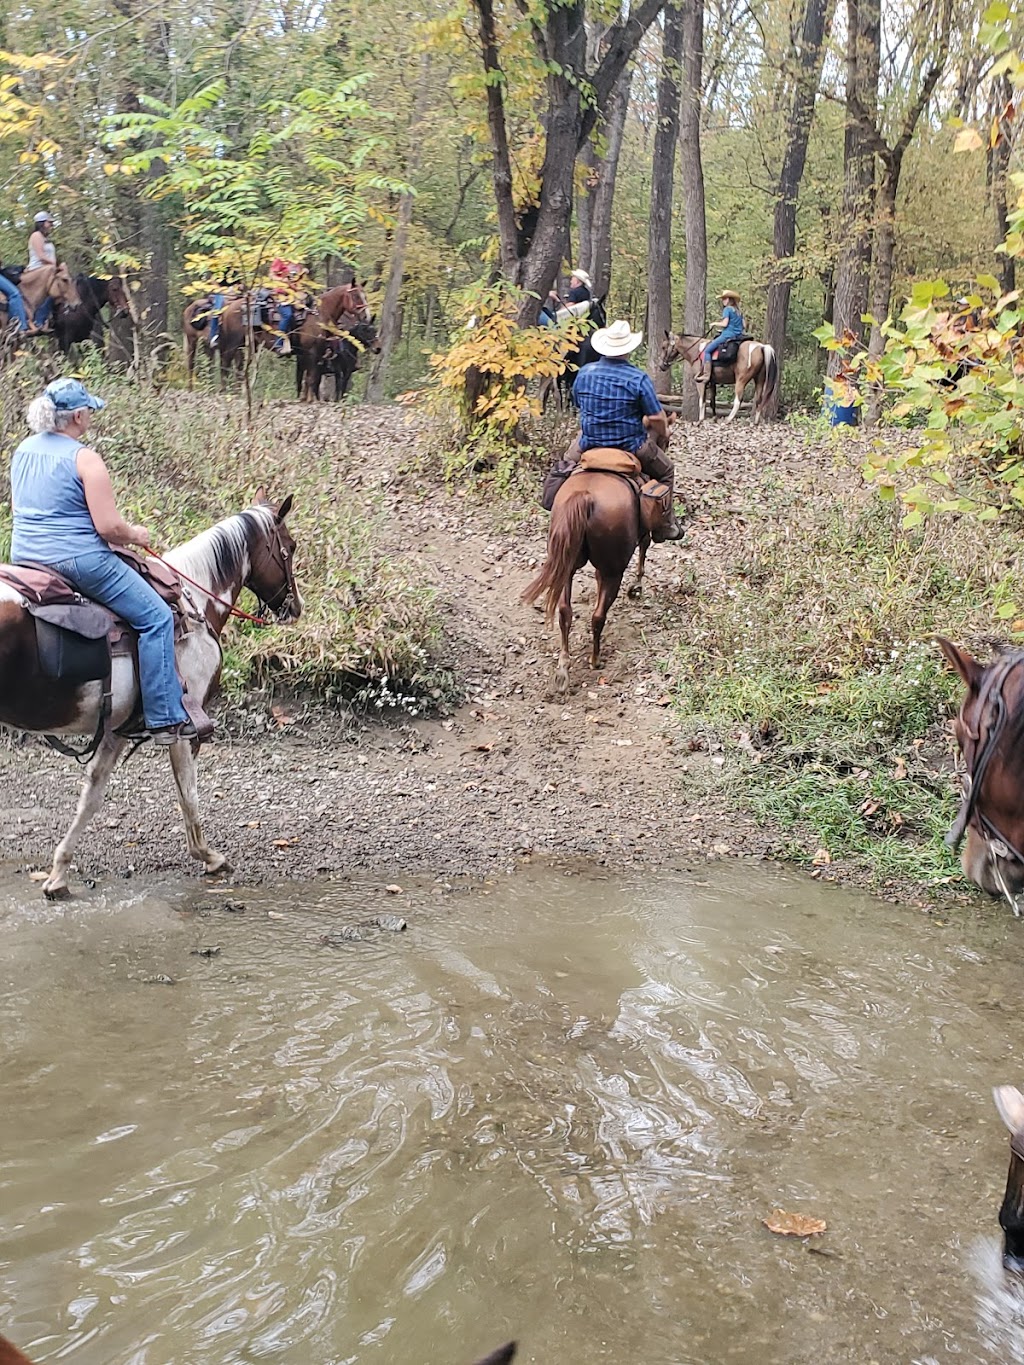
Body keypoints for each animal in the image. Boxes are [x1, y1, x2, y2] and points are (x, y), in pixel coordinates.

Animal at [0, 496, 300, 900]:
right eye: (290, 548)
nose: (295, 607)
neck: (195, 605)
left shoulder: (116, 730)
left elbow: (91, 797)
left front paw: (59, 875)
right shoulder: (185, 728)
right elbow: (188, 794)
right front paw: (210, 858)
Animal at [524, 466, 644, 693]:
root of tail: (585, 496)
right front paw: (637, 586)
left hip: (566, 565)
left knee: (564, 611)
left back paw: (563, 668)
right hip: (613, 571)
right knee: (598, 616)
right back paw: (595, 660)